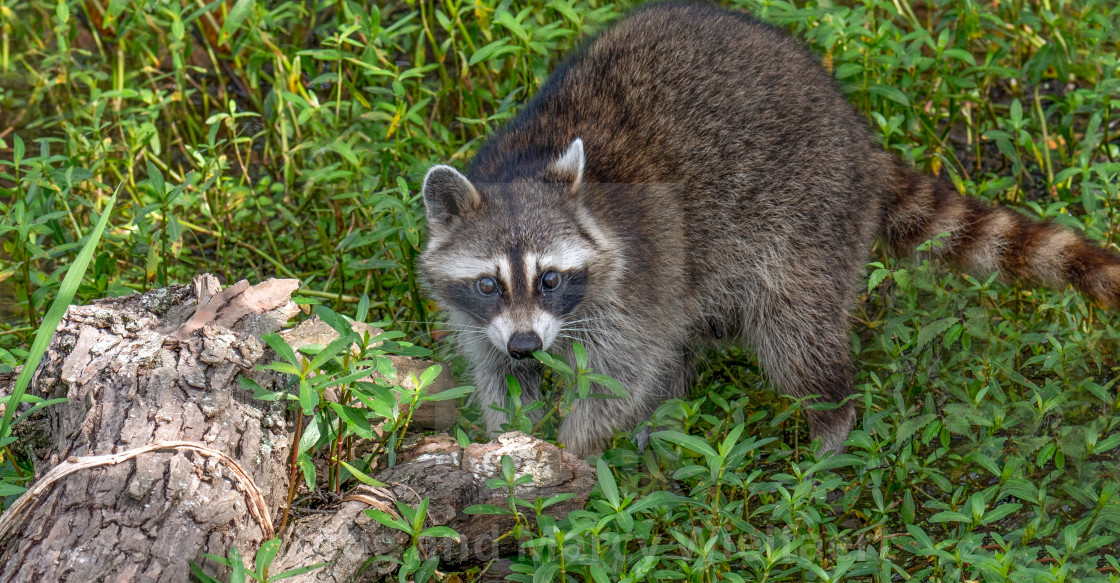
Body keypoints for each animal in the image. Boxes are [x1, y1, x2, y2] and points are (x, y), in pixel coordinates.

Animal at [418, 1, 1120, 454]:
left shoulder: (633, 277)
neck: (525, 163)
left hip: (809, 220)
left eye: (551, 277)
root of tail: (858, 141)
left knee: (795, 335)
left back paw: (830, 426)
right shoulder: (486, 320)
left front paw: (573, 450)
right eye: (488, 284)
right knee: (690, 335)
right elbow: (502, 376)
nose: (527, 344)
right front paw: (514, 443)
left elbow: (622, 371)